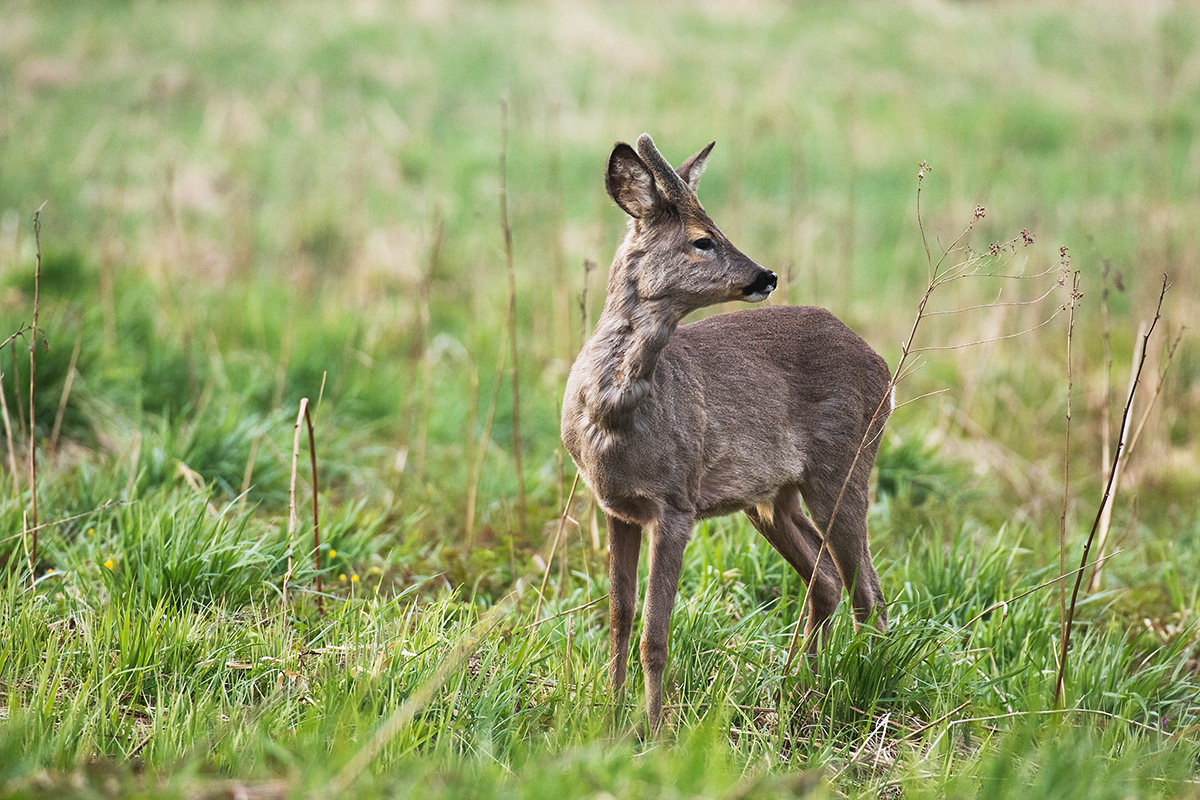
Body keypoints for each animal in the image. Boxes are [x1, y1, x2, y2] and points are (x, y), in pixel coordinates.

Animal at [560, 134, 893, 733]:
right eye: (702, 239)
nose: (766, 276)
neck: (611, 416)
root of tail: (882, 365)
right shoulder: (616, 506)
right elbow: (620, 616)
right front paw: (611, 713)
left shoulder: (676, 502)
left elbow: (654, 635)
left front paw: (654, 729)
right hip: (771, 498)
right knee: (827, 581)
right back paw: (798, 687)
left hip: (845, 466)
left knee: (868, 592)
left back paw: (859, 694)